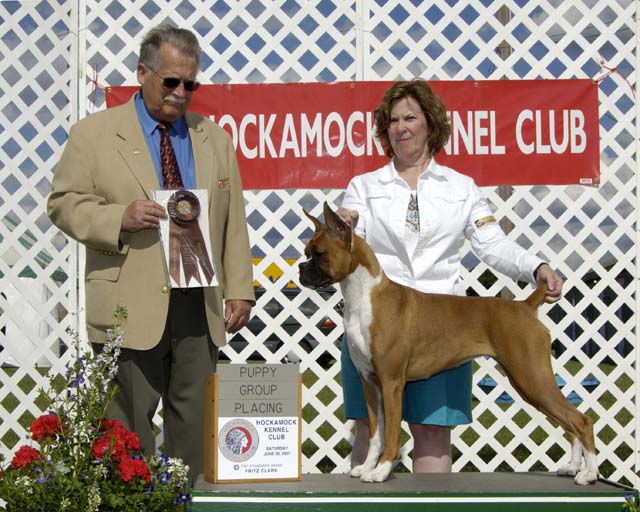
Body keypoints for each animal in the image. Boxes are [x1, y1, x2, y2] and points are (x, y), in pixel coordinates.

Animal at [298, 201, 596, 484]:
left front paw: (381, 471)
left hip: (532, 378)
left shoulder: (392, 383)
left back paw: (589, 474)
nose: (301, 267)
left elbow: (392, 434)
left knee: (580, 420)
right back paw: (571, 467)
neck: (365, 296)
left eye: (319, 254)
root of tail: (524, 305)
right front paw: (367, 468)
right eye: (306, 252)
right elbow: (374, 434)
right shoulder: (370, 384)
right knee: (569, 423)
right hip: (530, 383)